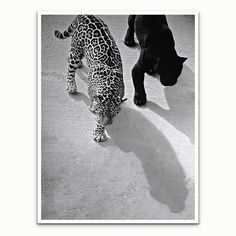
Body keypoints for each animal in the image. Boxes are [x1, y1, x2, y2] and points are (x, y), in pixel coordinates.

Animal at [54, 14, 125, 142]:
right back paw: (71, 85)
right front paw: (99, 132)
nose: (108, 123)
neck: (110, 87)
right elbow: (97, 116)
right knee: (71, 66)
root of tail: (85, 15)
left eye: (113, 114)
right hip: (77, 49)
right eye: (102, 113)